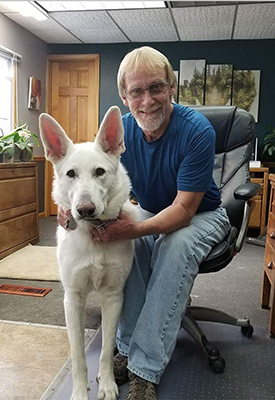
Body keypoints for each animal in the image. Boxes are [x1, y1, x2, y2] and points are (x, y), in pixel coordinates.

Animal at [38, 106, 138, 400]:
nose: (85, 210)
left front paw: (107, 383)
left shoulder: (114, 296)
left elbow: (104, 350)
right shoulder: (73, 300)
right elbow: (78, 355)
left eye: (100, 171)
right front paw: (80, 392)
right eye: (71, 174)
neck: (95, 233)